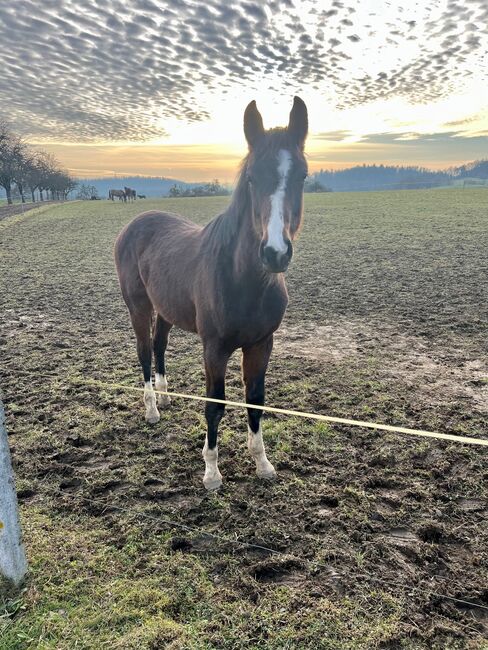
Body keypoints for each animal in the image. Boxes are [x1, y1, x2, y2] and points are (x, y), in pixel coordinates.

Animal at [113, 98, 308, 488]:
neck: (244, 282)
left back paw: (165, 397)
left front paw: (262, 464)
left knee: (158, 345)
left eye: (302, 176)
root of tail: (135, 223)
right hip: (138, 307)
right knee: (143, 351)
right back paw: (152, 409)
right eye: (252, 178)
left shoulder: (261, 343)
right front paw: (212, 471)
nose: (275, 253)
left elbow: (255, 399)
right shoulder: (214, 348)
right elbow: (215, 404)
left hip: (166, 310)